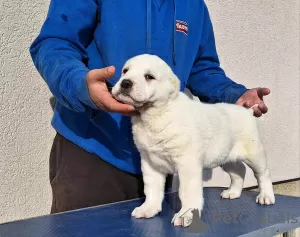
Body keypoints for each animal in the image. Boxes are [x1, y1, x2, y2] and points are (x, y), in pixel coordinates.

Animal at [112, 54, 274, 228]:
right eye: (125, 71)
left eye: (149, 77)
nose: (125, 82)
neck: (155, 114)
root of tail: (247, 111)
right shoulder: (150, 163)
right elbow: (152, 188)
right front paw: (149, 208)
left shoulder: (187, 164)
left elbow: (187, 192)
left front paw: (185, 214)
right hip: (225, 156)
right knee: (239, 171)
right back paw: (233, 192)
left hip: (254, 154)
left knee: (263, 174)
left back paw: (266, 196)